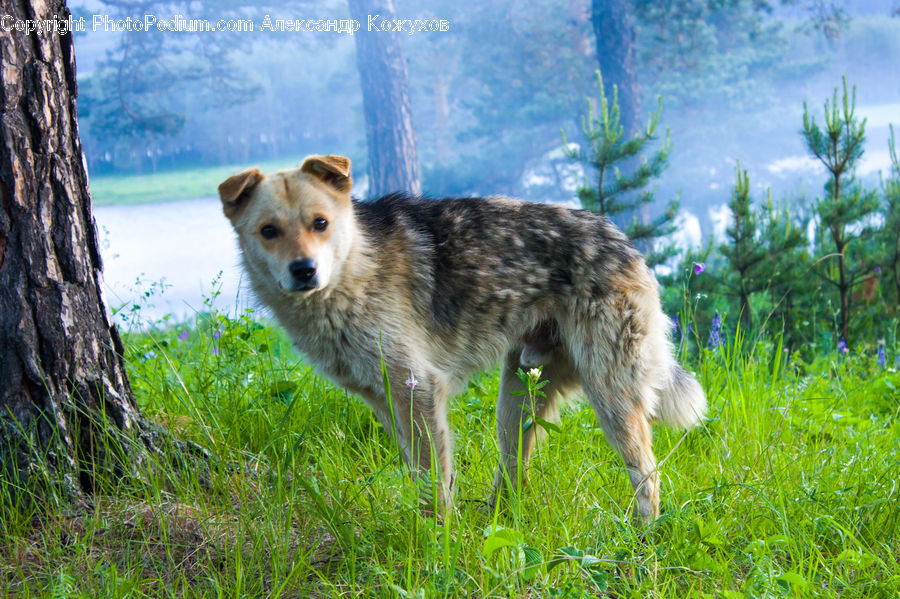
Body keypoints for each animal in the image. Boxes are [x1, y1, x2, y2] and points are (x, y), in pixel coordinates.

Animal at [216, 157, 704, 524]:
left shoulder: (418, 389)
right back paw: (498, 524)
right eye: (268, 231)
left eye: (320, 223)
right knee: (515, 474)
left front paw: (439, 544)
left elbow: (434, 480)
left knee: (648, 475)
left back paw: (640, 539)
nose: (304, 270)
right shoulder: (386, 401)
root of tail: (623, 240)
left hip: (610, 396)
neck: (355, 266)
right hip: (517, 400)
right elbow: (418, 474)